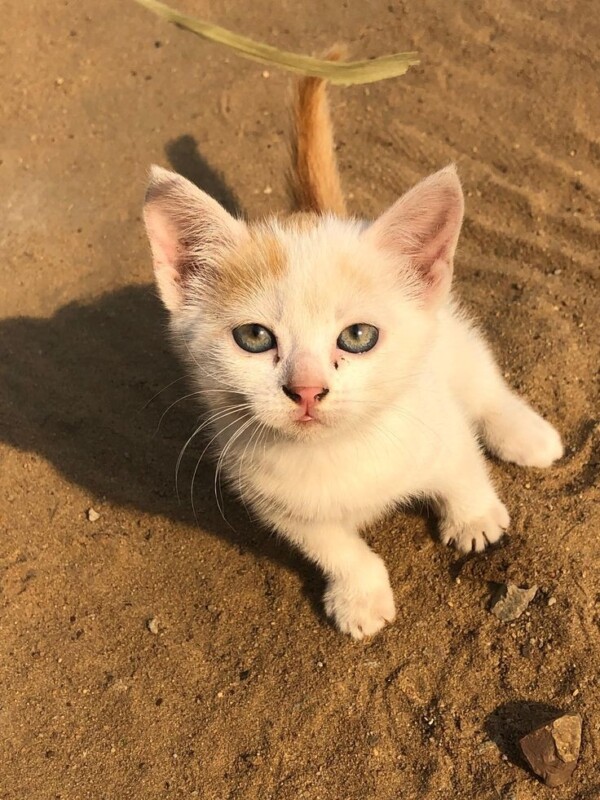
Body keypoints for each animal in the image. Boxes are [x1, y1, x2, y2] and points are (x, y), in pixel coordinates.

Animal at [142, 75, 564, 636]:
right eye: (254, 337)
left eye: (358, 336)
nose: (306, 389)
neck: (339, 449)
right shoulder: (275, 502)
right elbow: (335, 547)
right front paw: (360, 596)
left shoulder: (437, 419)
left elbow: (462, 465)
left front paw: (474, 517)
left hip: (452, 339)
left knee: (483, 385)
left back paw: (527, 435)